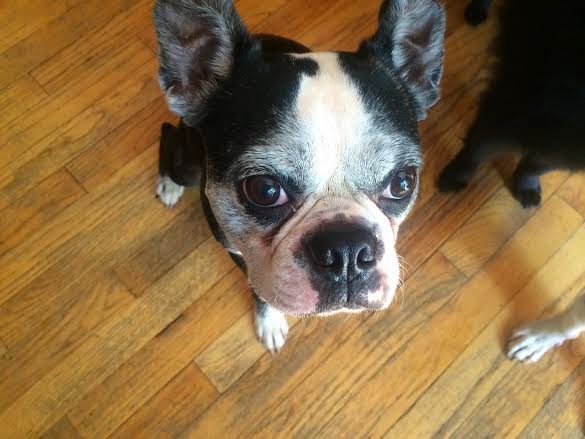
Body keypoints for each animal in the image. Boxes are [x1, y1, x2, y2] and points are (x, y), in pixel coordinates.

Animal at [152, 0, 446, 352]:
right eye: (265, 190)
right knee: (167, 136)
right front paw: (269, 321)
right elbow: (260, 290)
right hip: (189, 165)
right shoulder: (239, 251)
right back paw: (168, 185)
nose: (347, 249)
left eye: (403, 182)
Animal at [439, 0, 585, 362]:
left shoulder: (563, 138)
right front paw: (456, 175)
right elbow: (481, 145)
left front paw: (526, 184)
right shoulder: (521, 96)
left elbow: (539, 162)